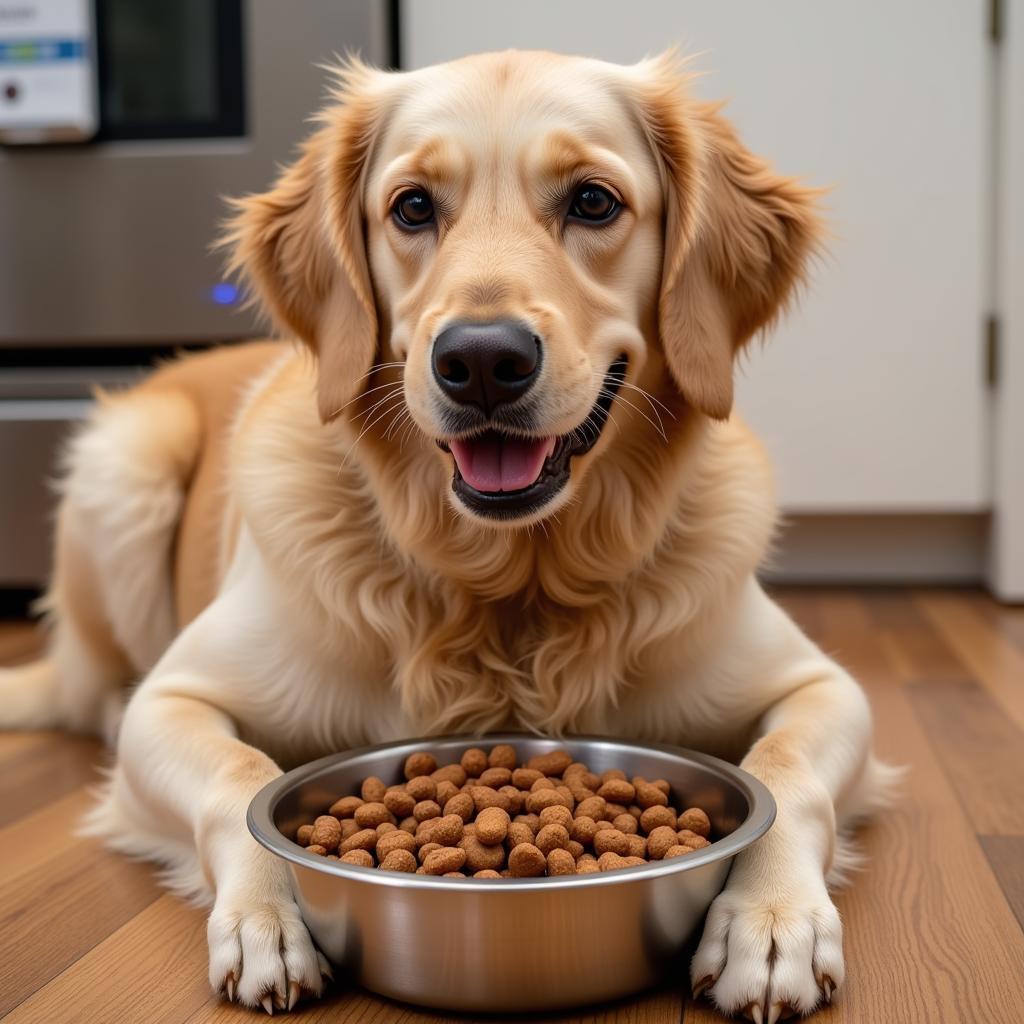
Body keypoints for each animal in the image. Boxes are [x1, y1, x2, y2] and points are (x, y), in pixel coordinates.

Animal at [0, 51, 897, 1019]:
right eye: (412, 208)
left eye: (594, 202)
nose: (483, 361)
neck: (510, 586)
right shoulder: (170, 701)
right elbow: (238, 773)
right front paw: (268, 915)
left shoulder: (822, 687)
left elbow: (784, 768)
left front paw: (769, 919)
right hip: (128, 459)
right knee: (98, 690)